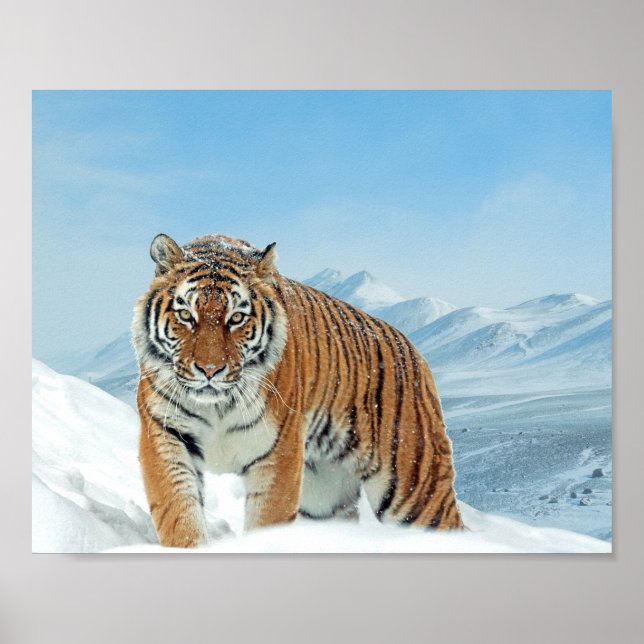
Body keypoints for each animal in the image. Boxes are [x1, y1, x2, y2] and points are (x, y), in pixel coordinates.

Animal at [132, 232, 463, 548]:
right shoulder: (165, 435)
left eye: (236, 318)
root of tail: (413, 350)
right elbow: (178, 513)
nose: (210, 370)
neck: (217, 405)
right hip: (324, 497)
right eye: (186, 316)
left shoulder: (278, 452)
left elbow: (267, 521)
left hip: (415, 488)